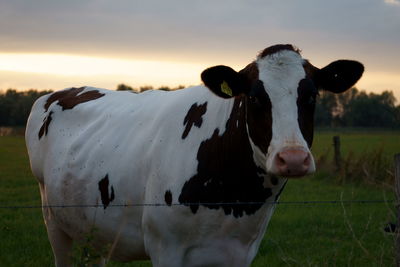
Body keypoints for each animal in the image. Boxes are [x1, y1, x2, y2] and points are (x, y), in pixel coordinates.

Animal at [24, 45, 362, 266]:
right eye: (254, 97)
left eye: (312, 95)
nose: (292, 158)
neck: (235, 201)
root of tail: (57, 92)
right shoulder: (165, 248)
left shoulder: (240, 252)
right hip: (53, 220)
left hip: (94, 228)